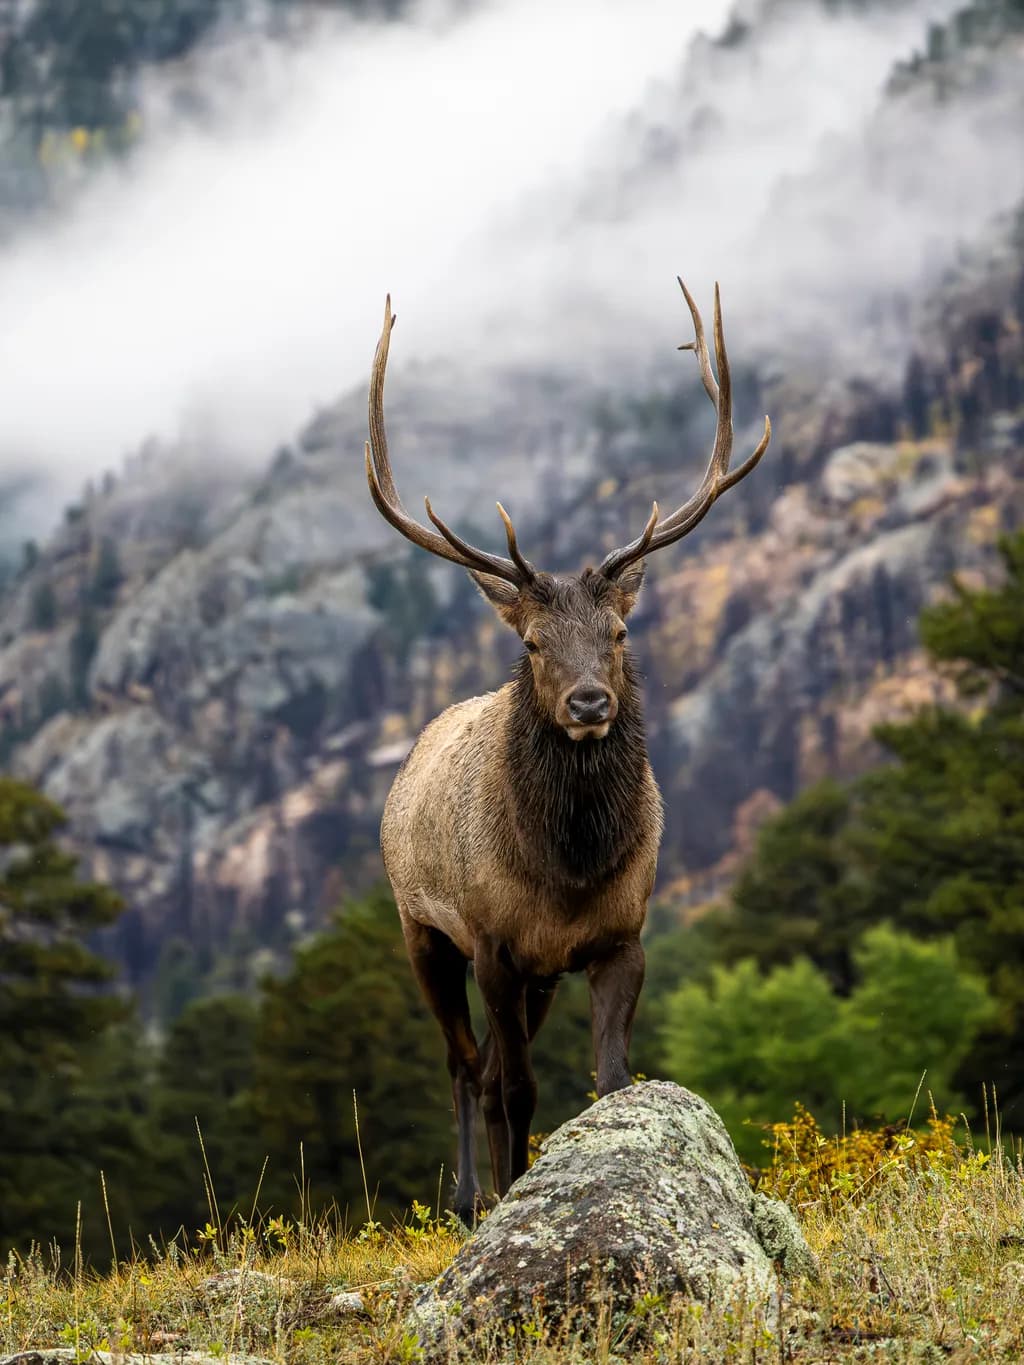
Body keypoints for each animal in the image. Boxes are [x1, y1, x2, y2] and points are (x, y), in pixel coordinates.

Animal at [364, 278, 770, 1225]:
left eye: (618, 631)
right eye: (536, 642)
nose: (590, 702)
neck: (570, 868)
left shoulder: (619, 936)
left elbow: (611, 1079)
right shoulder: (495, 945)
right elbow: (517, 1090)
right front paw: (513, 1193)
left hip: (536, 974)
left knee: (481, 1067)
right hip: (421, 930)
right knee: (464, 1065)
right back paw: (469, 1196)